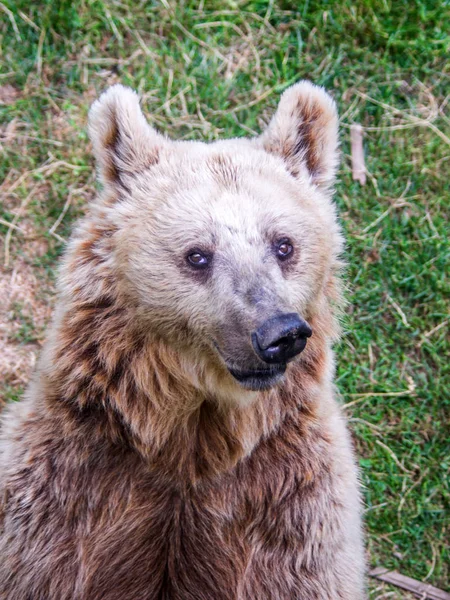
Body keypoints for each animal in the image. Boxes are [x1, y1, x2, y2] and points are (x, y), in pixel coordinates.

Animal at [0, 82, 366, 596]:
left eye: (283, 244)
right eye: (197, 255)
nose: (279, 333)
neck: (191, 440)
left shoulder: (289, 505)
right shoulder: (65, 493)